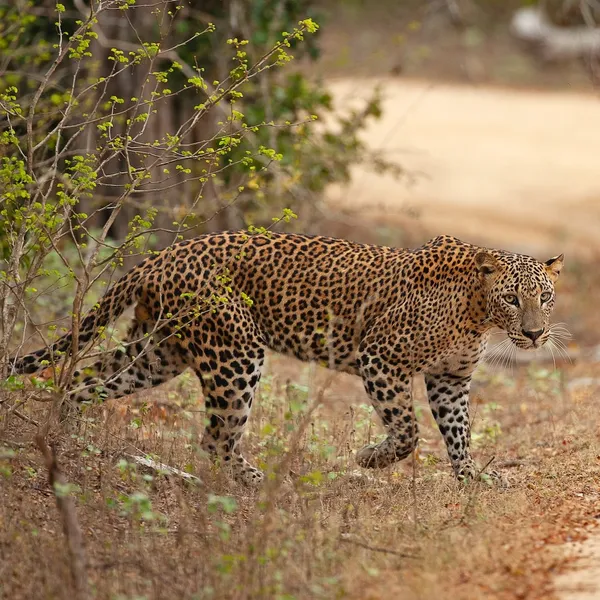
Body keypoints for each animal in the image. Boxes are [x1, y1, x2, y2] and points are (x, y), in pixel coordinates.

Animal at [8, 232, 564, 486]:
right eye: (512, 298)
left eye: (545, 296)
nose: (535, 334)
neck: (478, 312)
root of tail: (165, 254)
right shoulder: (380, 358)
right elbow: (407, 431)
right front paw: (370, 459)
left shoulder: (450, 378)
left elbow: (459, 432)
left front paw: (473, 479)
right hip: (235, 352)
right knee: (215, 438)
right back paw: (262, 483)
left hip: (159, 352)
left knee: (82, 382)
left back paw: (63, 441)